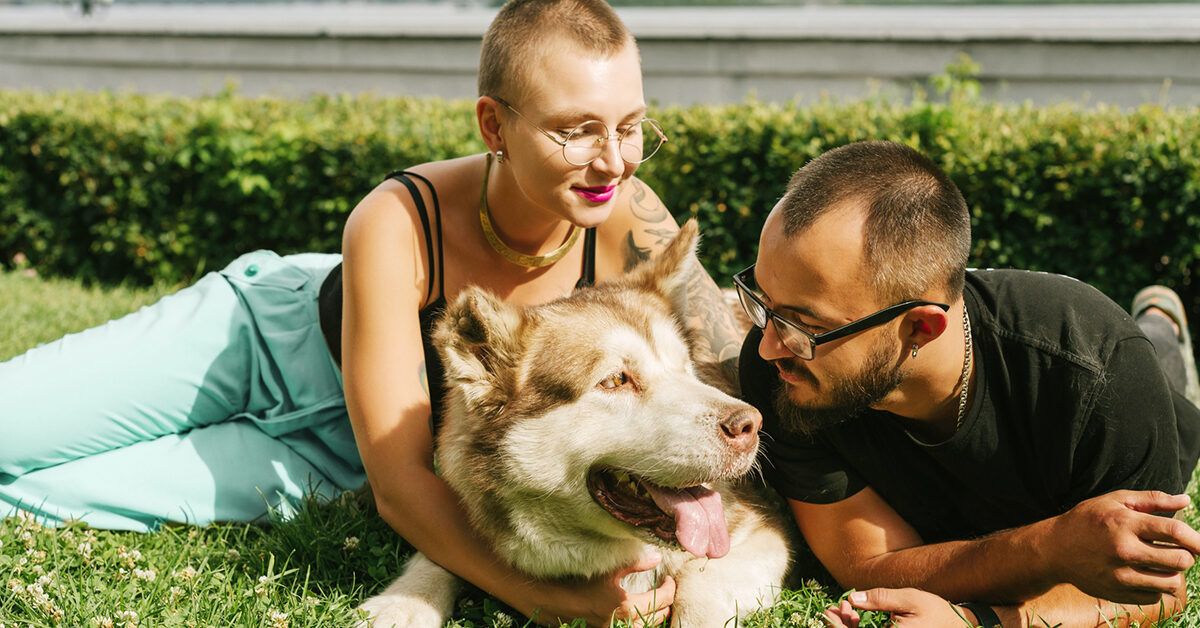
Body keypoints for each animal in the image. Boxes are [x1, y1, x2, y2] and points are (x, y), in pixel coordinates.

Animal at [360, 223, 792, 624]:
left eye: (685, 369)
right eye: (615, 381)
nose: (749, 425)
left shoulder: (764, 535)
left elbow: (698, 589)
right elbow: (437, 552)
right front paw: (403, 602)